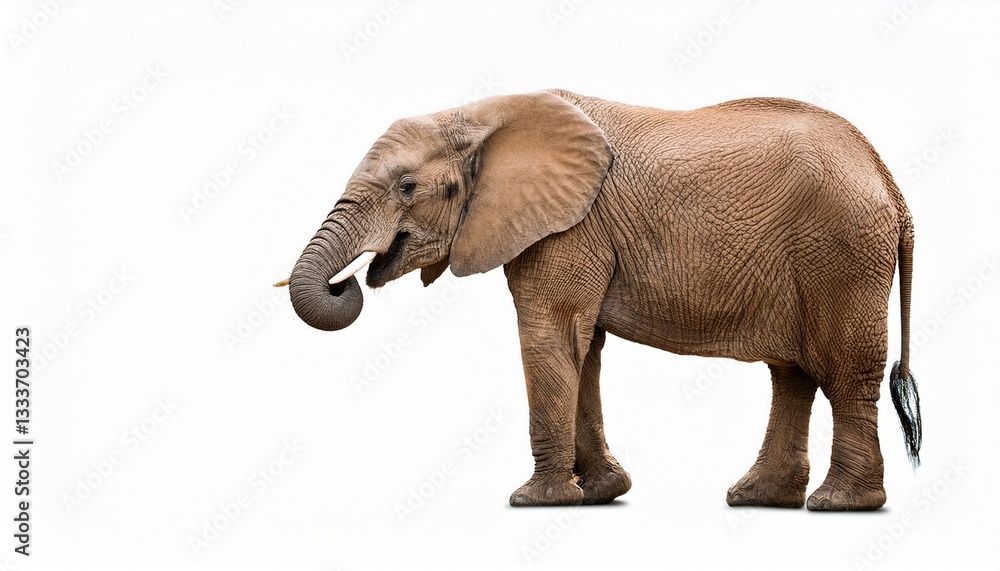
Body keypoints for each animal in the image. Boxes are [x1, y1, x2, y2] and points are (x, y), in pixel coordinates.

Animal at [277, 89, 922, 511]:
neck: (481, 113)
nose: (347, 281)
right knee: (792, 372)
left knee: (843, 369)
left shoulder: (569, 227)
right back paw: (759, 498)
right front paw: (600, 494)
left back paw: (840, 504)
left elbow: (550, 335)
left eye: (407, 187)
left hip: (842, 252)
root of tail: (889, 181)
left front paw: (535, 501)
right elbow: (583, 347)